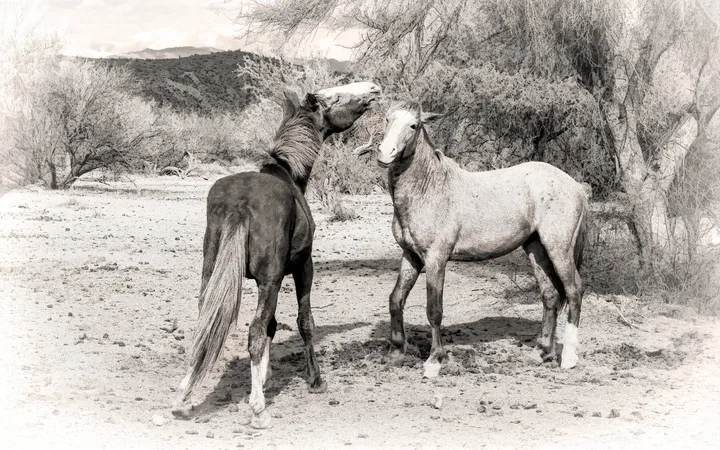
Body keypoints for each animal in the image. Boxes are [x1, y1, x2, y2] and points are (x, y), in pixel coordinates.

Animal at [172, 82, 381, 428]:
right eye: (335, 96)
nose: (374, 90)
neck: (288, 175)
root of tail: (241, 203)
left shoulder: (269, 279)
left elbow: (271, 326)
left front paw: (264, 377)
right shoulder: (301, 269)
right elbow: (303, 321)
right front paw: (315, 380)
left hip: (213, 273)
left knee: (207, 322)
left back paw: (183, 398)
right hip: (271, 280)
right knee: (254, 331)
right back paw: (258, 410)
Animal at [374, 101, 587, 378]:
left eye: (414, 125)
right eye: (387, 119)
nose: (384, 153)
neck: (429, 188)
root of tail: (576, 186)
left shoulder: (435, 259)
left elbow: (434, 310)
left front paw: (434, 361)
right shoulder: (411, 257)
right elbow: (395, 300)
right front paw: (396, 354)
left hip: (559, 249)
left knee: (574, 291)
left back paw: (569, 357)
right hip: (536, 249)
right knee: (550, 295)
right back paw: (541, 352)